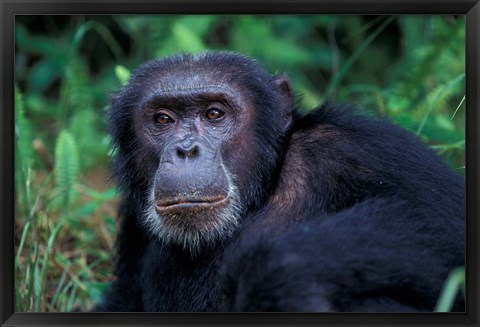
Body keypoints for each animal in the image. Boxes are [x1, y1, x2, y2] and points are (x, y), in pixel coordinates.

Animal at [94, 50, 464, 312]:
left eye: (215, 114)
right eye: (162, 119)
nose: (186, 149)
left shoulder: (361, 148)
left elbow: (441, 220)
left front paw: (272, 273)